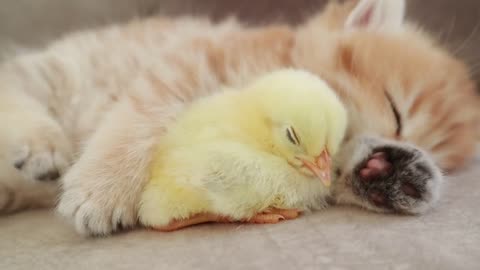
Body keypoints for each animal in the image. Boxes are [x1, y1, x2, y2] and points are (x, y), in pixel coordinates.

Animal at [0, 0, 478, 235]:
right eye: (396, 110)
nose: (392, 148)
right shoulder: (187, 63)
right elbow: (142, 114)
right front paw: (103, 187)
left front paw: (400, 173)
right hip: (65, 70)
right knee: (14, 82)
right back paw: (42, 144)